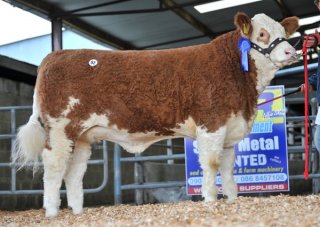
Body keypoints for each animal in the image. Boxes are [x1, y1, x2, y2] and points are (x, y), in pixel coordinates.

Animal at [14, 12, 300, 216]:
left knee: (74, 171)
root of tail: (52, 57)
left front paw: (231, 200)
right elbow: (211, 165)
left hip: (82, 136)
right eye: (262, 33)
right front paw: (210, 201)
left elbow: (229, 170)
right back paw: (52, 212)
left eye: (284, 33)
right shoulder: (211, 124)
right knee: (53, 167)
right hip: (60, 129)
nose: (291, 51)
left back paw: (77, 212)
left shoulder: (230, 129)